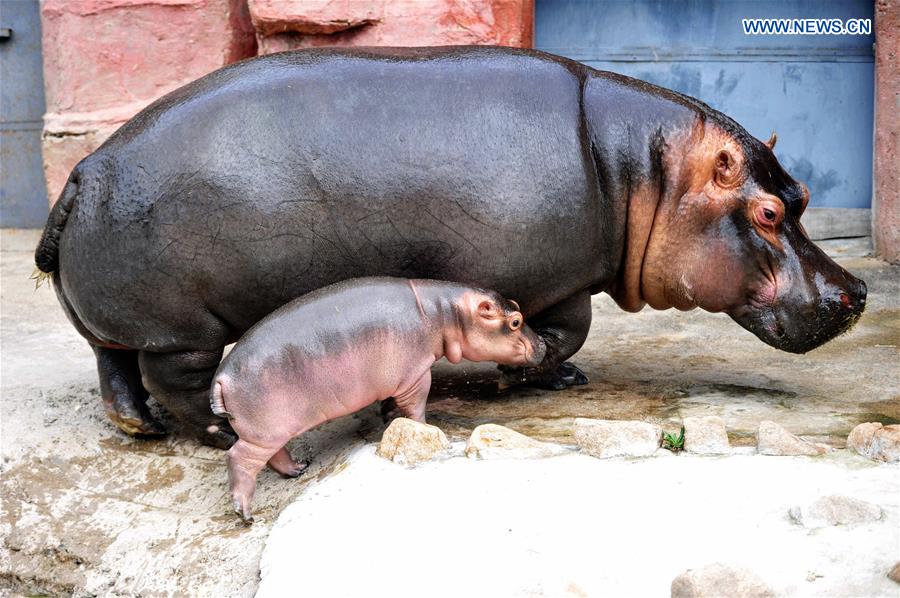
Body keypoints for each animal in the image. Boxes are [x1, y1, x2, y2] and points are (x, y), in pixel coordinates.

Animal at [35, 47, 864, 450]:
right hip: (181, 328)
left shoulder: (566, 277)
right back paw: (216, 434)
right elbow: (563, 330)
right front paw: (517, 372)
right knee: (173, 379)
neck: (642, 171)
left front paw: (554, 377)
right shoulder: (544, 277)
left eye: (801, 196)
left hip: (128, 321)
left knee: (114, 369)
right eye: (766, 211)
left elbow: (568, 333)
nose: (854, 292)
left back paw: (137, 428)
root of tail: (86, 168)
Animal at [211, 276, 544, 520]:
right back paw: (245, 513)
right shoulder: (417, 373)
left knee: (272, 455)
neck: (444, 312)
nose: (542, 342)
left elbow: (396, 402)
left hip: (270, 431)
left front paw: (389, 414)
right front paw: (426, 428)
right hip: (263, 432)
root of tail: (221, 376)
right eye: (515, 321)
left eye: (516, 307)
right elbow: (417, 406)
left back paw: (298, 469)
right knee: (239, 458)